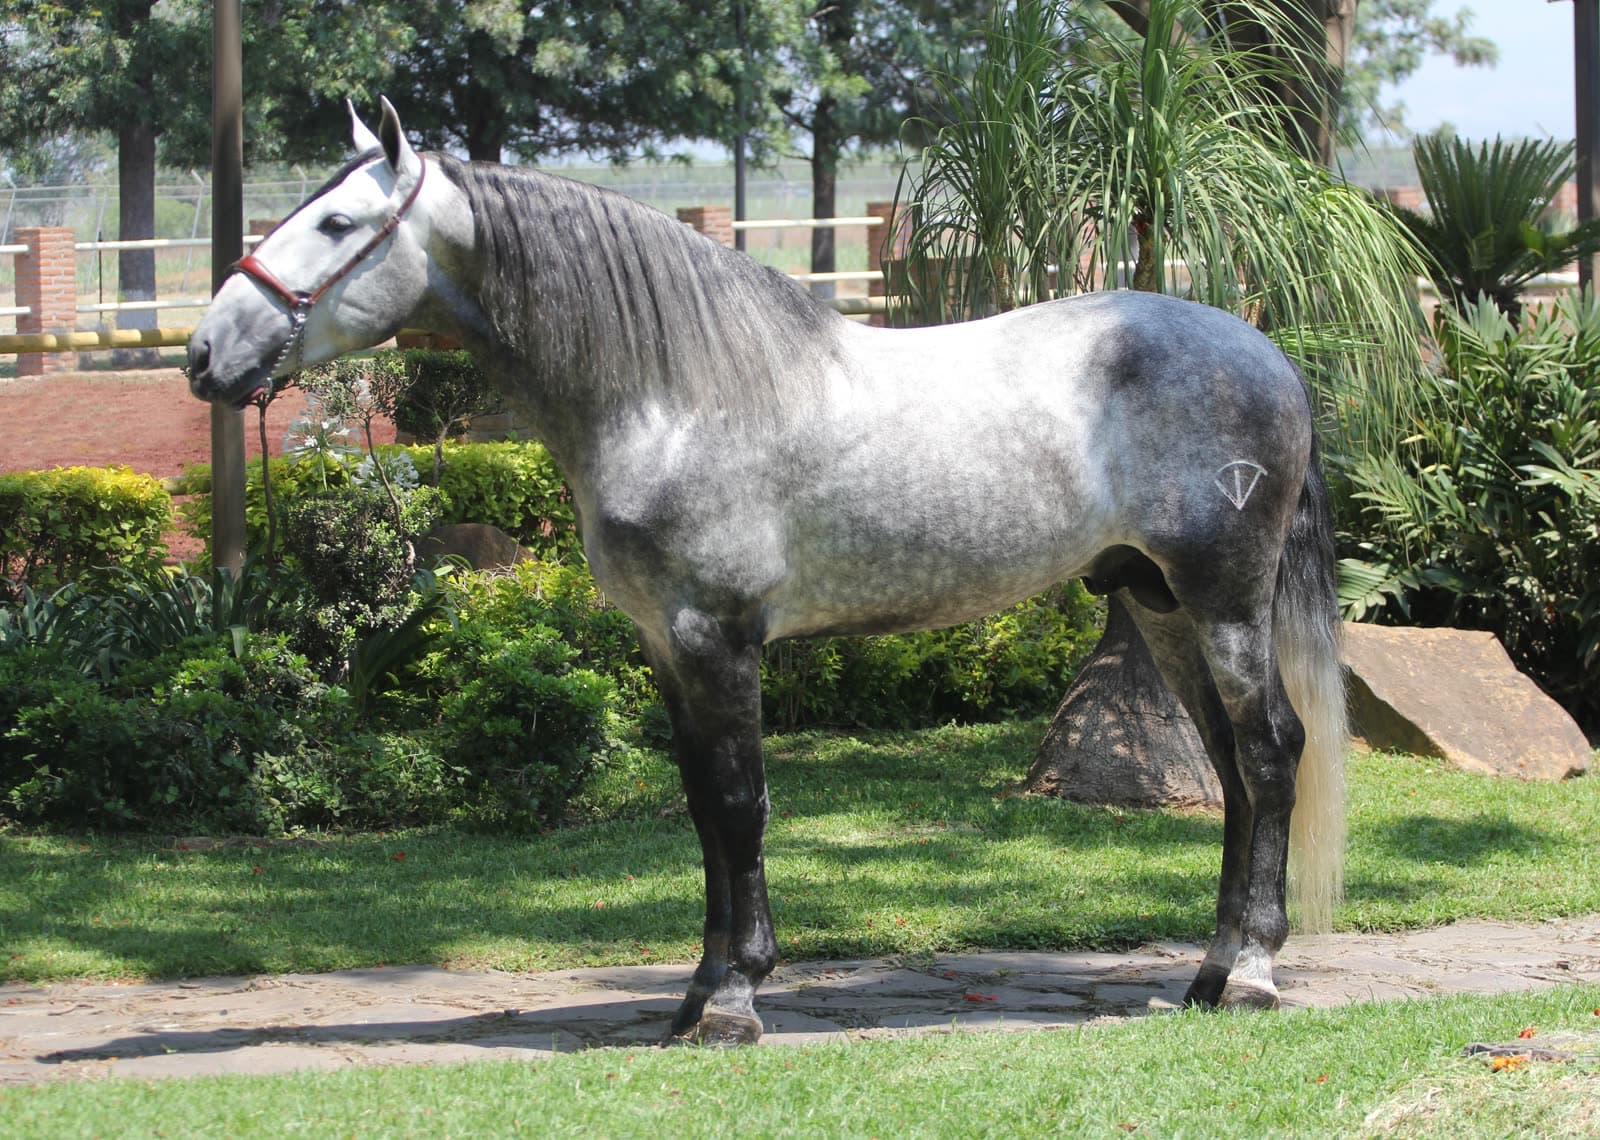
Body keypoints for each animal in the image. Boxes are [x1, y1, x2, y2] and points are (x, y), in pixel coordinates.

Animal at [188, 99, 1347, 1045]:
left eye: (338, 226)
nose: (206, 354)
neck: (676, 397)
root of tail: (1267, 355)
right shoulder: (666, 643)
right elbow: (706, 806)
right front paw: (702, 991)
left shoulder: (717, 636)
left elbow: (741, 804)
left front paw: (734, 1002)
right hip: (1160, 604)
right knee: (1232, 767)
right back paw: (1208, 971)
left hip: (1224, 602)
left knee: (1270, 754)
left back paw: (1250, 974)